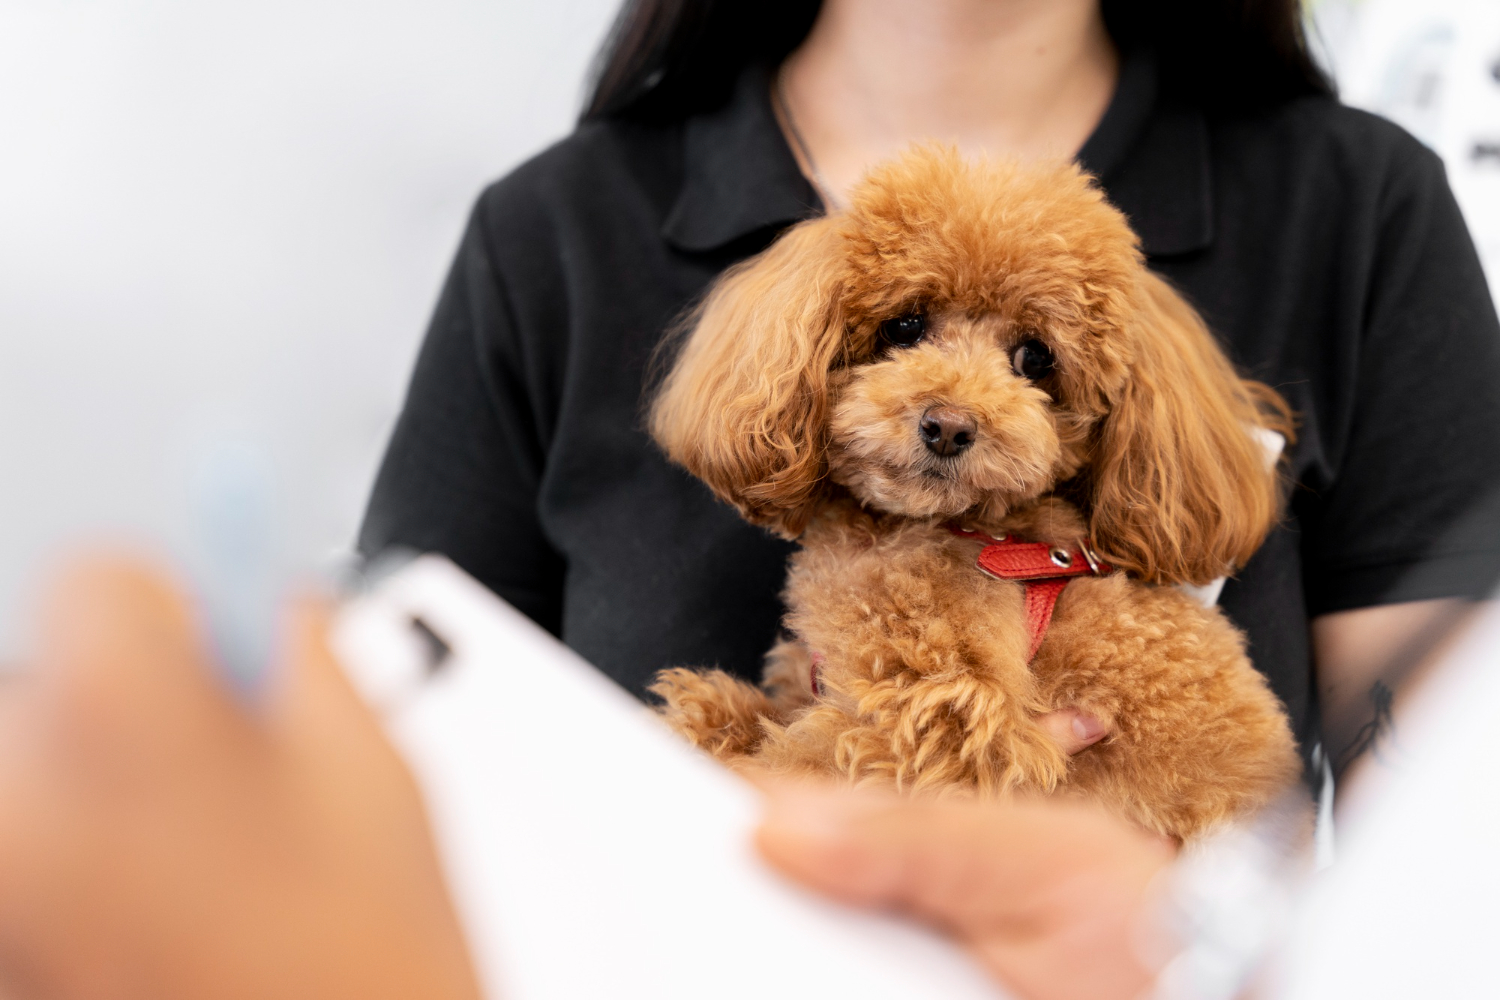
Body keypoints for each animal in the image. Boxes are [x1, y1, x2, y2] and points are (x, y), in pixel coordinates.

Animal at [648, 144, 1302, 839]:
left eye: (1036, 358)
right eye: (905, 325)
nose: (948, 426)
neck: (976, 531)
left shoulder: (939, 726)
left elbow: (803, 768)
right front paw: (707, 713)